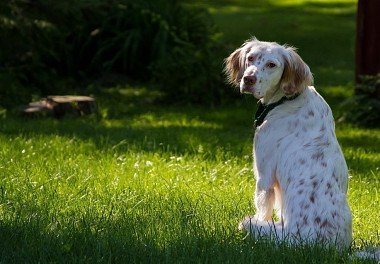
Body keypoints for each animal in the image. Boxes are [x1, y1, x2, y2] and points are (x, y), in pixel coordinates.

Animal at [224, 37, 352, 250]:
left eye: (271, 65)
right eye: (250, 58)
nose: (248, 79)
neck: (286, 99)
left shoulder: (264, 176)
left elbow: (263, 208)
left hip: (261, 226)